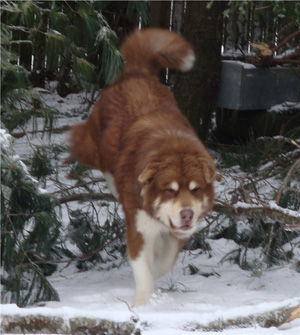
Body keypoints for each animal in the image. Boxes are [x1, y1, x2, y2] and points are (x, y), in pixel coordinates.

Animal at [70, 28, 216, 308]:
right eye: (169, 190)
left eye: (195, 189)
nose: (187, 214)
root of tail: (136, 73)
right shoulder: (138, 225)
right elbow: (143, 266)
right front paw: (141, 303)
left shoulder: (176, 233)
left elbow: (163, 262)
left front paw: (156, 266)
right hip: (95, 147)